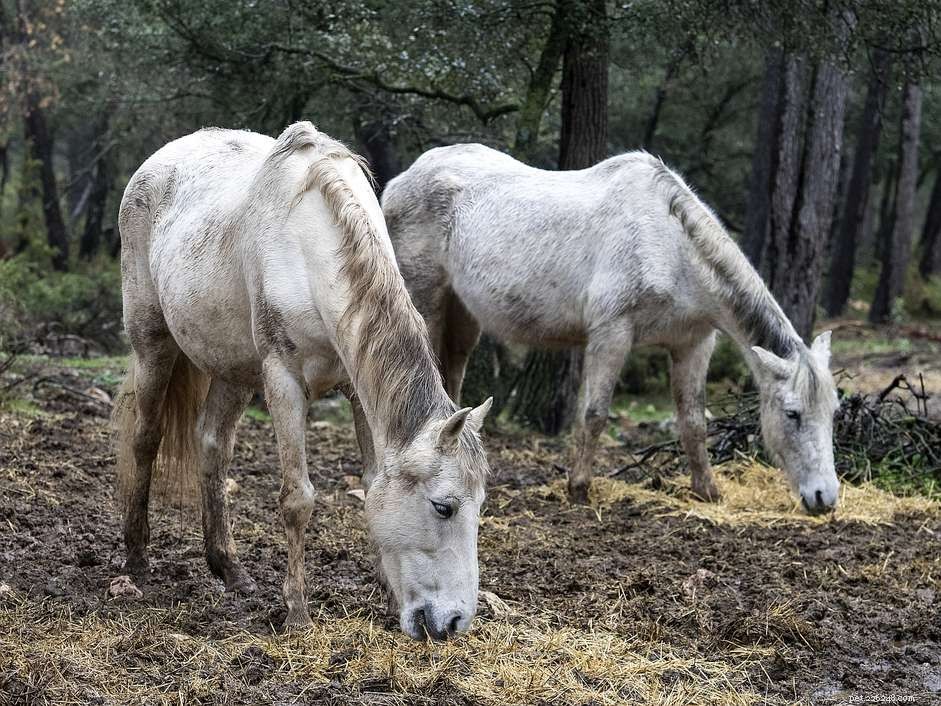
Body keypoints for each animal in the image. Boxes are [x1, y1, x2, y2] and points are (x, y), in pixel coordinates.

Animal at [114, 123, 492, 640]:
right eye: (443, 507)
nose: (453, 622)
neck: (313, 250)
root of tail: (157, 162)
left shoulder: (356, 388)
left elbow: (371, 480)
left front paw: (385, 593)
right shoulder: (284, 382)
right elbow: (298, 498)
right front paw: (297, 612)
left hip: (235, 370)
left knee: (212, 444)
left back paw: (229, 569)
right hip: (153, 342)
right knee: (145, 439)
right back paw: (136, 559)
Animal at [382, 144, 840, 512]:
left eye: (833, 413)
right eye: (793, 414)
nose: (824, 498)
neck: (670, 246)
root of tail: (400, 181)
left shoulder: (694, 343)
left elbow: (693, 421)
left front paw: (707, 491)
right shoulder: (612, 334)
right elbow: (596, 412)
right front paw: (579, 488)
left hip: (463, 314)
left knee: (452, 373)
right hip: (426, 299)